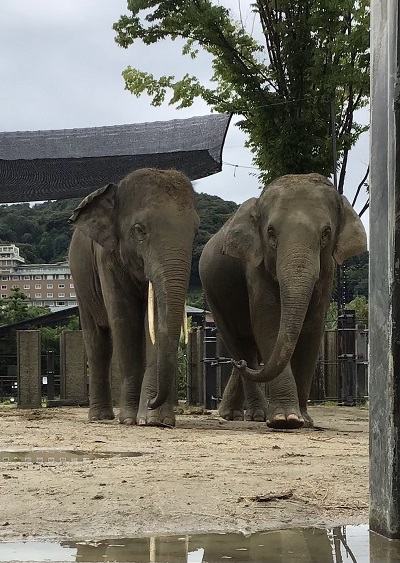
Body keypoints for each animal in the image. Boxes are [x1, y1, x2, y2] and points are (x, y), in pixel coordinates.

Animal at [69, 170, 200, 426]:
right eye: (140, 230)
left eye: (196, 232)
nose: (152, 401)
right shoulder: (107, 258)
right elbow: (124, 319)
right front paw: (130, 419)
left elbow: (154, 321)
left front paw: (155, 420)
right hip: (80, 284)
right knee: (97, 341)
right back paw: (100, 417)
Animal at [198, 174, 368, 430]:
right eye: (271, 232)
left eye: (326, 232)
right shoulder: (255, 265)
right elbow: (268, 322)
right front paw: (284, 419)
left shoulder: (327, 273)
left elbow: (312, 329)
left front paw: (304, 420)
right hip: (213, 293)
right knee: (240, 343)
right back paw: (254, 413)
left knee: (250, 351)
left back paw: (236, 411)